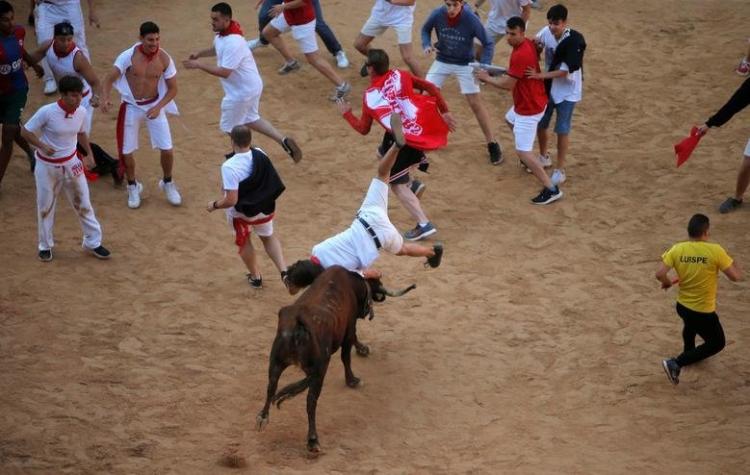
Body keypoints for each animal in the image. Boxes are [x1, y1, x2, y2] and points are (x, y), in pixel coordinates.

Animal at [258, 264, 418, 454]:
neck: (353, 282)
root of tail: (297, 324)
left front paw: (363, 350)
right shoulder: (348, 329)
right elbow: (346, 356)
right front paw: (352, 380)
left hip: (276, 362)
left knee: (271, 387)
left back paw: (262, 418)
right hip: (317, 371)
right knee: (311, 401)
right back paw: (313, 440)